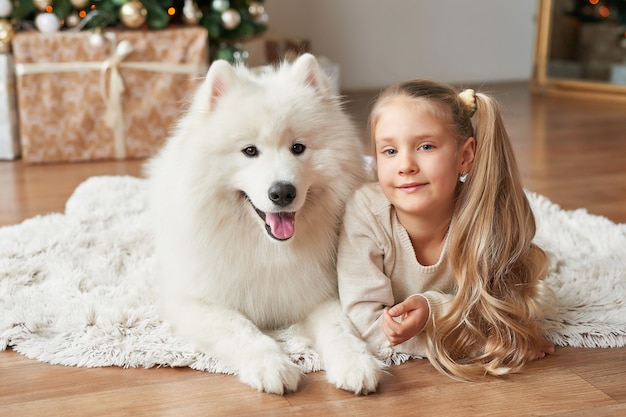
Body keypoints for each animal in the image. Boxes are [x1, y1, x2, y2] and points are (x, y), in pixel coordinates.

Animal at [145, 52, 380, 394]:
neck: (268, 248)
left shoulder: (319, 290)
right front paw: (272, 366)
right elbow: (240, 329)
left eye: (298, 148)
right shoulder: (194, 302)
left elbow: (340, 327)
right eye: (250, 151)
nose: (282, 192)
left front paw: (355, 363)